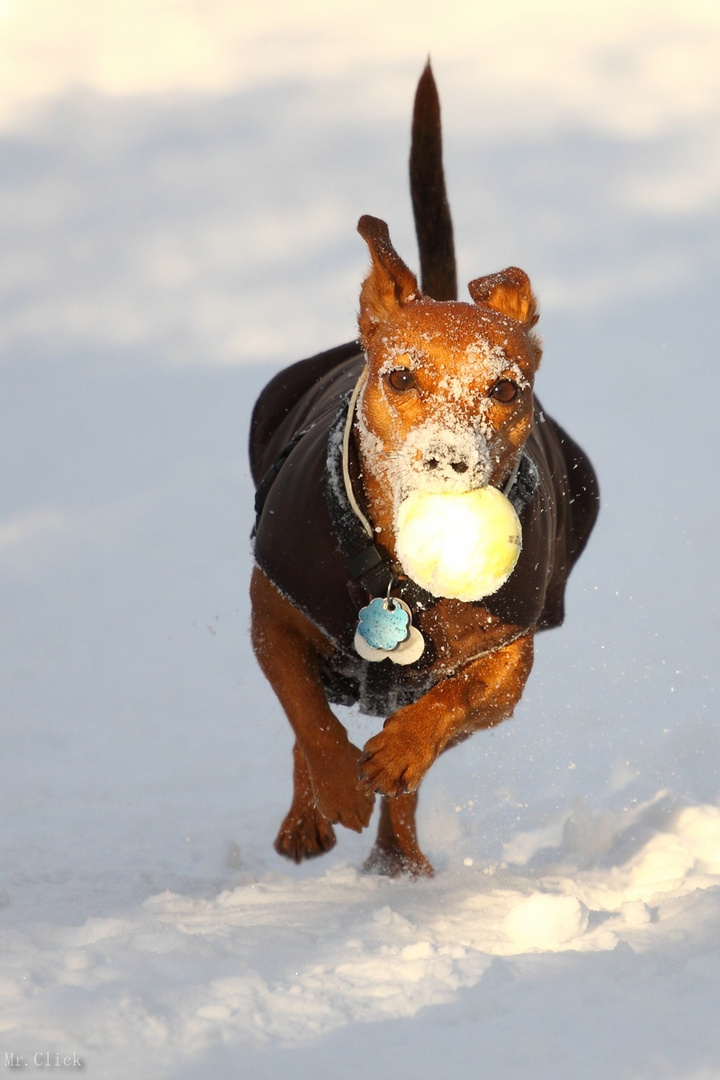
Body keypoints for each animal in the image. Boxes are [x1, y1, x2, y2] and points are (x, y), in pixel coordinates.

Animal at [248, 63, 595, 876]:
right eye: (401, 377)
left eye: (505, 388)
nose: (447, 457)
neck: (400, 578)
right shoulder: (270, 614)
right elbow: (305, 716)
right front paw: (338, 783)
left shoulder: (508, 662)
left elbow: (448, 710)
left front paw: (399, 755)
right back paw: (309, 818)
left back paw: (397, 860)